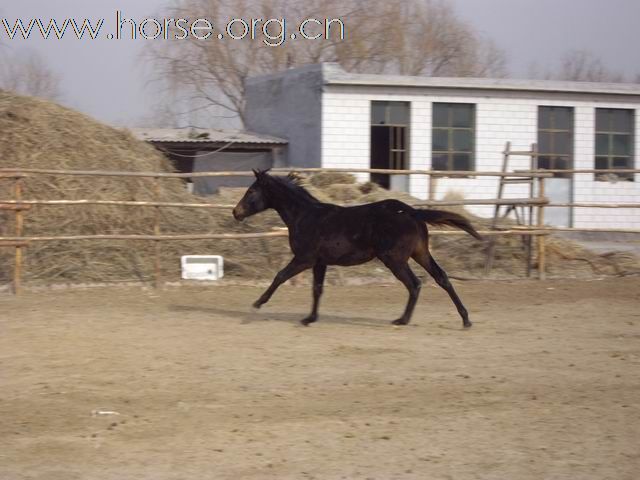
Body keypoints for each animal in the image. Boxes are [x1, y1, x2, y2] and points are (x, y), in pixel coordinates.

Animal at [232, 169, 482, 326]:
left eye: (251, 191)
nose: (236, 212)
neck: (305, 216)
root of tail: (412, 212)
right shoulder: (320, 262)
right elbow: (317, 289)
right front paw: (310, 319)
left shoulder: (305, 258)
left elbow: (280, 276)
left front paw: (256, 305)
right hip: (420, 253)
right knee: (442, 278)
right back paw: (465, 319)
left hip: (395, 259)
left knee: (415, 284)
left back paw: (402, 320)